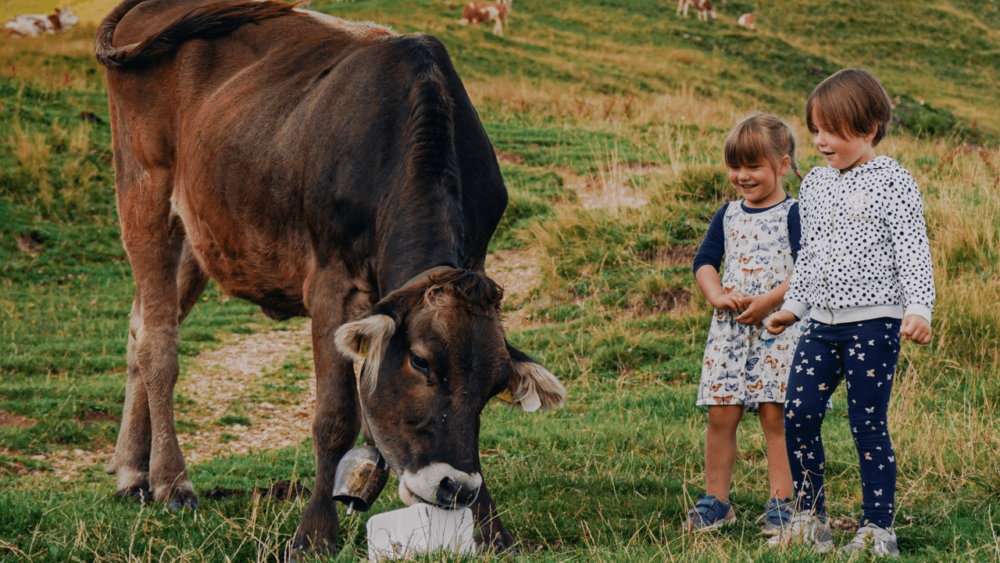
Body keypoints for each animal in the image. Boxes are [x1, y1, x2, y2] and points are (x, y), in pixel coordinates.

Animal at [94, 0, 568, 556]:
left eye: (496, 384)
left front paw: (490, 529)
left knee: (138, 327)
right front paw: (314, 533)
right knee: (158, 344)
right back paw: (171, 482)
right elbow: (335, 416)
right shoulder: (332, 282)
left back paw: (131, 474)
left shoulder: (474, 255)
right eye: (421, 362)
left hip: (201, 233)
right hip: (144, 191)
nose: (455, 487)